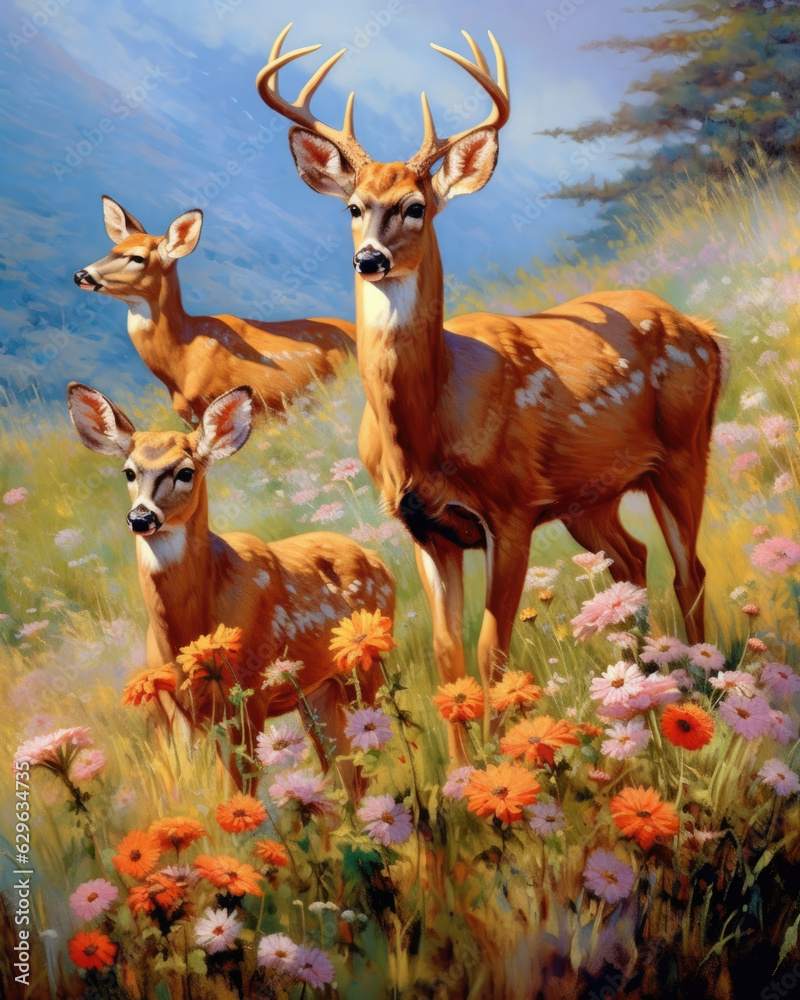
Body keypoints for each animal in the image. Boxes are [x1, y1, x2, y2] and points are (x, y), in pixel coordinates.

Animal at [67, 381, 396, 793]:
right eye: (129, 471)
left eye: (185, 471)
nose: (141, 517)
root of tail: (379, 559)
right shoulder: (173, 709)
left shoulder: (248, 697)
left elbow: (242, 789)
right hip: (319, 690)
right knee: (342, 768)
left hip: (366, 666)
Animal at [255, 25, 725, 760]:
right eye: (354, 207)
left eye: (415, 207)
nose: (369, 259)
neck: (427, 429)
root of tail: (705, 331)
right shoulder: (426, 528)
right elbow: (448, 654)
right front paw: (458, 772)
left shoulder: (510, 510)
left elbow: (490, 649)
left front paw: (507, 756)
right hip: (589, 497)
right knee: (632, 559)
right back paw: (642, 686)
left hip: (684, 450)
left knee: (690, 569)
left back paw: (699, 690)